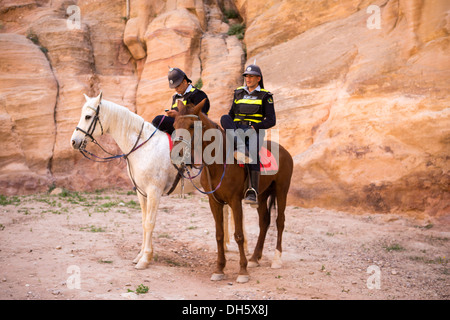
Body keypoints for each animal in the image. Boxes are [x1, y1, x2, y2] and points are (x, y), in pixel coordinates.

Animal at [69, 92, 178, 268]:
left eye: (88, 116)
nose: (74, 141)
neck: (144, 147)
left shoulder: (154, 192)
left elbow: (150, 223)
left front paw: (145, 259)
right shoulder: (142, 192)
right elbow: (144, 222)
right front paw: (140, 255)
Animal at [171, 99, 292, 282]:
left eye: (192, 125)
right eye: (174, 124)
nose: (177, 154)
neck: (219, 162)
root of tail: (285, 151)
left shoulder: (235, 201)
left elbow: (239, 235)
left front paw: (242, 271)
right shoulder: (214, 202)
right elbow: (219, 234)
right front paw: (219, 269)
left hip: (282, 190)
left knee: (280, 221)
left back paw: (276, 259)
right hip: (262, 195)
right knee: (264, 222)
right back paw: (255, 258)